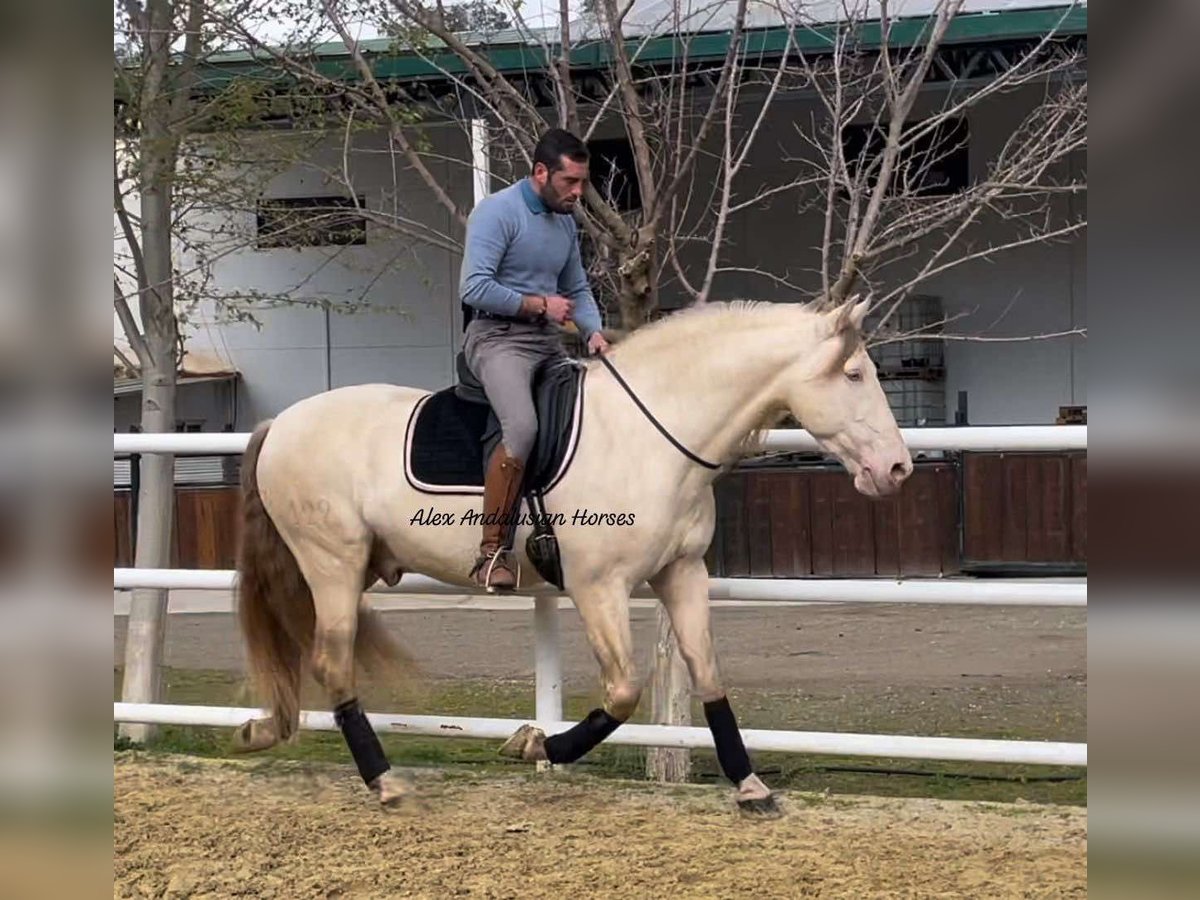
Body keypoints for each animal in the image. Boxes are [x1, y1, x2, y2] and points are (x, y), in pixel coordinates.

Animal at [231, 297, 907, 816]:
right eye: (854, 375)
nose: (896, 469)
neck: (650, 435)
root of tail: (279, 423)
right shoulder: (598, 586)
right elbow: (624, 690)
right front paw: (535, 746)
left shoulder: (682, 573)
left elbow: (708, 674)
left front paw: (750, 786)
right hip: (333, 565)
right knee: (331, 661)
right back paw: (385, 781)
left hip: (352, 567)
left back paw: (269, 728)